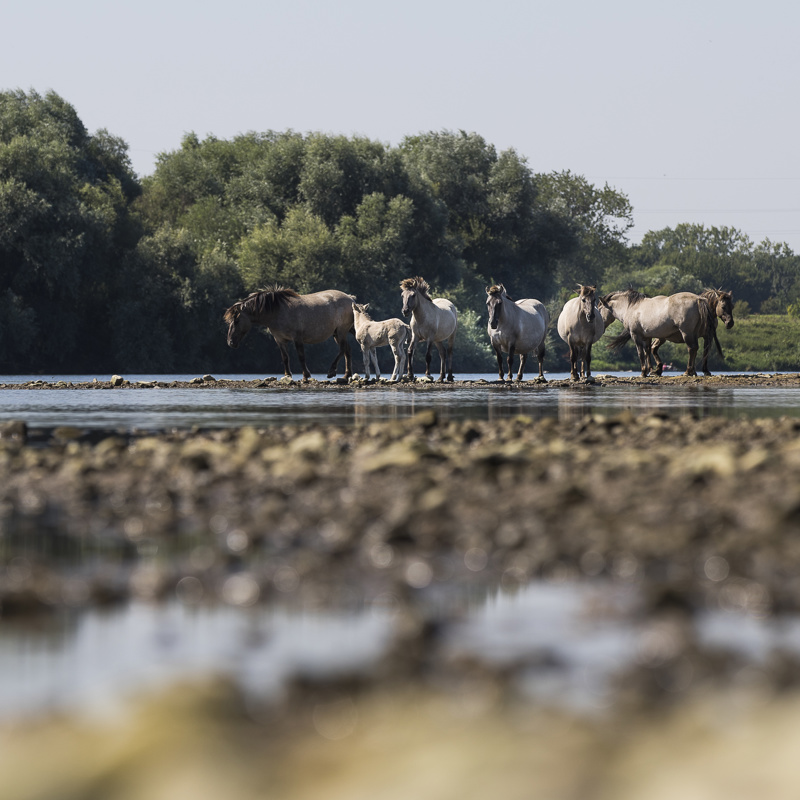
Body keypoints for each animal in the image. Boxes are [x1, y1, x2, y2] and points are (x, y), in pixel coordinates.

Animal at [224, 286, 355, 381]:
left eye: (236, 321)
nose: (230, 342)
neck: (277, 311)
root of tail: (350, 298)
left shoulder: (297, 338)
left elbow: (301, 357)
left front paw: (306, 375)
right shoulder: (280, 340)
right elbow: (285, 357)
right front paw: (287, 375)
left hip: (341, 331)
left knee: (343, 349)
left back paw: (332, 371)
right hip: (339, 333)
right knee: (347, 350)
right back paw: (347, 375)